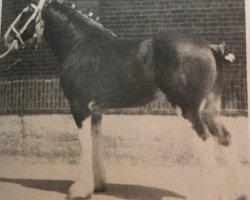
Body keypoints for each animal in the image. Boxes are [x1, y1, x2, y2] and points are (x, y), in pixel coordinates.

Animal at [4, 1, 236, 198]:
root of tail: (210, 47)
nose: (6, 38)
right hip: (209, 109)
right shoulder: (96, 111)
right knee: (223, 138)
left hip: (188, 109)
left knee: (205, 141)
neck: (80, 44)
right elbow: (96, 142)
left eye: (25, 12)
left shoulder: (79, 108)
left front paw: (80, 189)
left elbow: (84, 144)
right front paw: (98, 185)